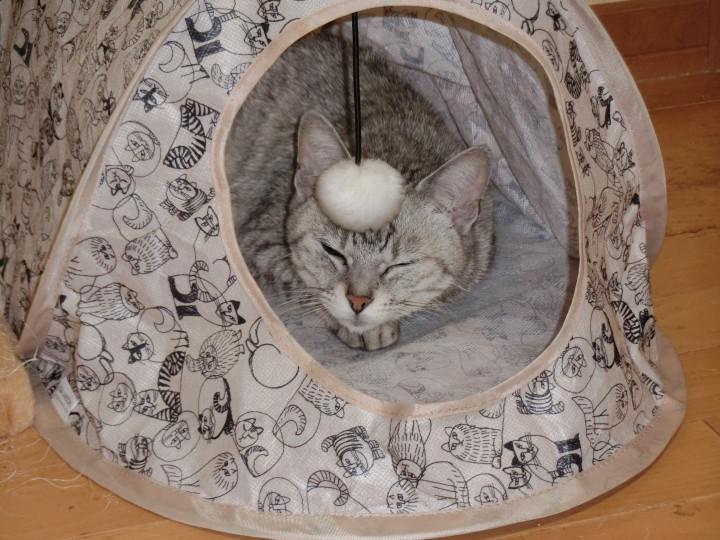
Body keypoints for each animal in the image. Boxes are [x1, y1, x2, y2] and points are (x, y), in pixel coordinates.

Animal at [225, 30, 493, 351]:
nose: (357, 302)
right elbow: (301, 281)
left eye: (400, 264)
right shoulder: (257, 237)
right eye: (332, 251)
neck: (393, 138)